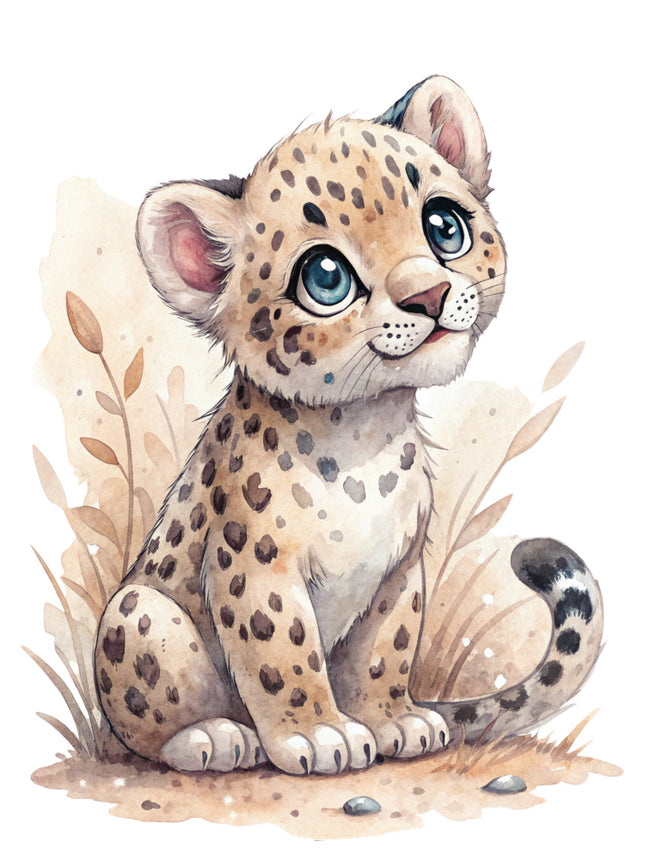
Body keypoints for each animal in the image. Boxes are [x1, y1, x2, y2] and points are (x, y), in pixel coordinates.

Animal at [94, 75, 603, 775]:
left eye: (444, 226)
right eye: (326, 276)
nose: (429, 295)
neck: (366, 440)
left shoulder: (399, 568)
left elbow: (386, 647)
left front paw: (393, 721)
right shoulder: (257, 568)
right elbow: (283, 653)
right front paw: (317, 734)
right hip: (137, 610)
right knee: (146, 723)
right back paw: (214, 737)